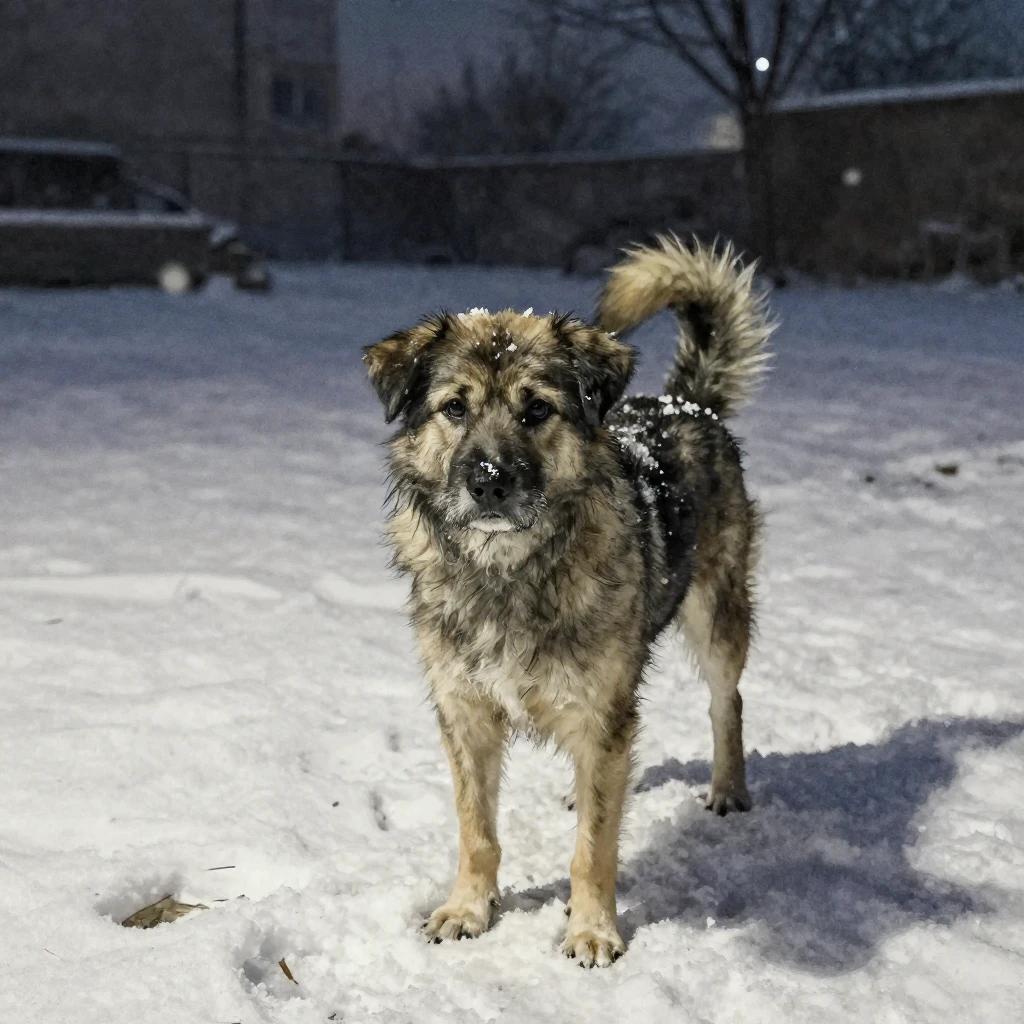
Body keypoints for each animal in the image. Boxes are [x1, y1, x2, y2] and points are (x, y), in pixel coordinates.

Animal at [363, 237, 774, 967]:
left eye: (537, 411)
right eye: (455, 408)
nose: (488, 481)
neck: (509, 572)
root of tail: (683, 403)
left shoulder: (604, 712)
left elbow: (594, 848)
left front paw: (591, 930)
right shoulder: (465, 714)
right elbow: (476, 830)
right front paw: (468, 909)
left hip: (717, 617)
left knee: (726, 702)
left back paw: (729, 789)